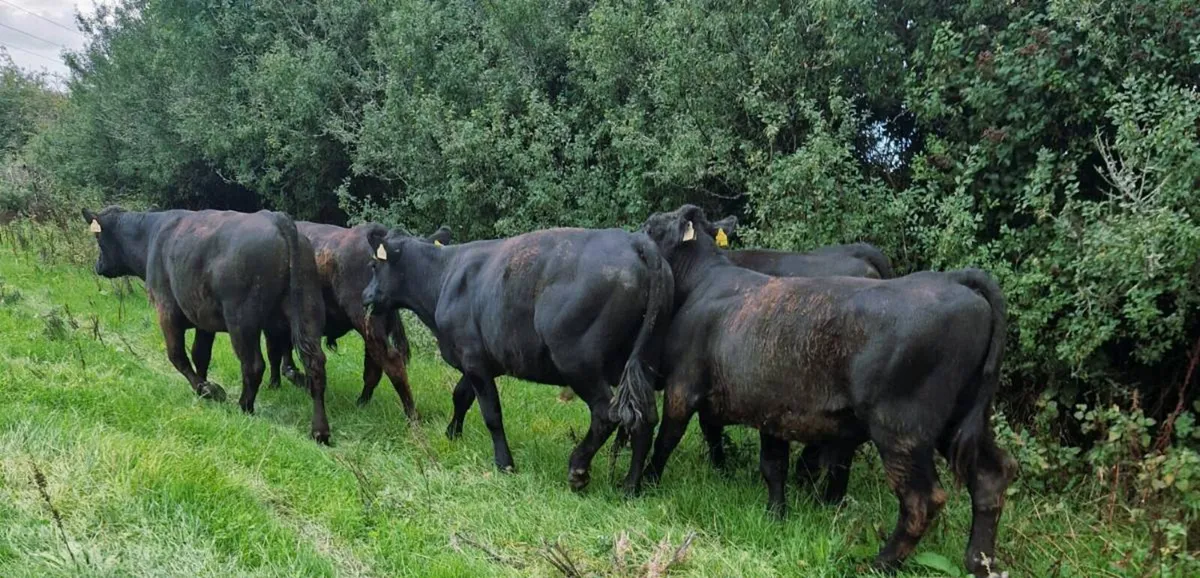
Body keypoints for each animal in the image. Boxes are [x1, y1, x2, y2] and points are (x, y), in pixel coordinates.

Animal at [82, 207, 332, 442]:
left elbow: (177, 356)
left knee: (253, 365)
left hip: (241, 320)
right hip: (308, 309)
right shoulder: (203, 319)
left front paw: (208, 390)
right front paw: (202, 388)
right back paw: (320, 431)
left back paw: (244, 407)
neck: (150, 234)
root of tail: (278, 218)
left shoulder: (167, 310)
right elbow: (200, 355)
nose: (97, 265)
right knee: (315, 364)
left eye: (98, 239)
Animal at [266, 223, 453, 419]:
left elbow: (275, 354)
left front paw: (277, 384)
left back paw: (411, 414)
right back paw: (362, 403)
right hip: (373, 326)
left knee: (390, 361)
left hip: (365, 321)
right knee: (374, 365)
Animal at [361, 227, 671, 491]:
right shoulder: (478, 359)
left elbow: (491, 413)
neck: (442, 276)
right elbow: (461, 396)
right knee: (646, 417)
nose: (365, 295)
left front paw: (504, 463)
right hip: (644, 359)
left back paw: (578, 469)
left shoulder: (473, 358)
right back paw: (630, 486)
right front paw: (452, 435)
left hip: (578, 360)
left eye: (374, 266)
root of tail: (633, 240)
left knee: (606, 412)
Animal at [630, 205, 1015, 577]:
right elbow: (773, 466)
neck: (704, 281)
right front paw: (776, 515)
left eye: (651, 226)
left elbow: (665, 441)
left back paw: (880, 563)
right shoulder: (771, 407)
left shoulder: (683, 387)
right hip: (960, 420)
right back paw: (979, 562)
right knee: (991, 477)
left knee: (921, 500)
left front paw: (648, 483)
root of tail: (953, 279)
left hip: (901, 427)